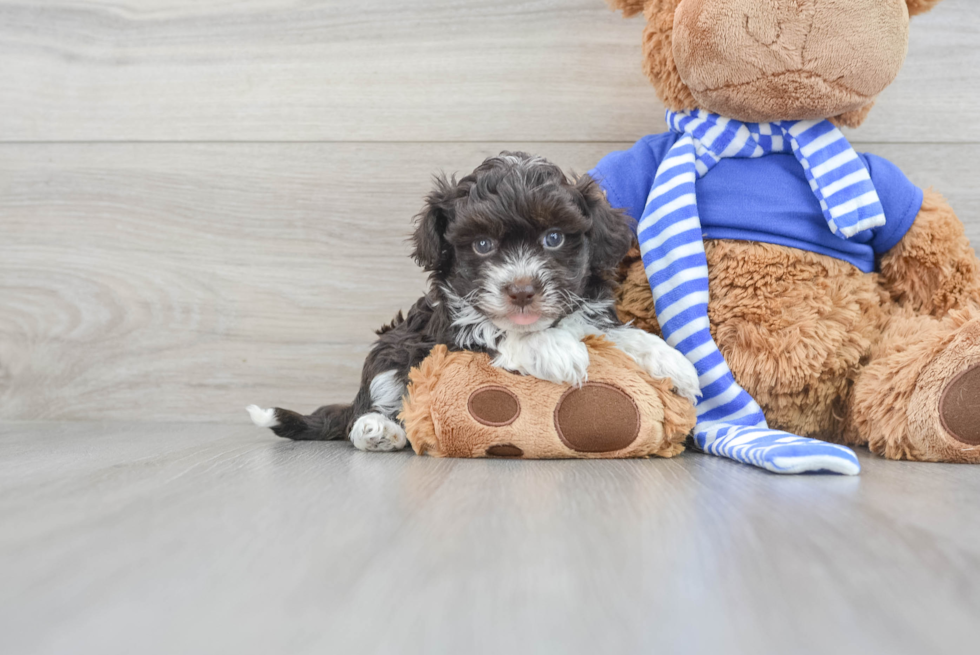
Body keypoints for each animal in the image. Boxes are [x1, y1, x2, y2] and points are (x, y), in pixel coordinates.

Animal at [249, 152, 700, 452]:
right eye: (483, 245)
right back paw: (377, 430)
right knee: (370, 403)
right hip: (391, 349)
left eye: (554, 238)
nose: (522, 290)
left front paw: (671, 360)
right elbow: (496, 333)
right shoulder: (448, 331)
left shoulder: (590, 316)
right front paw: (554, 349)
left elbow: (613, 334)